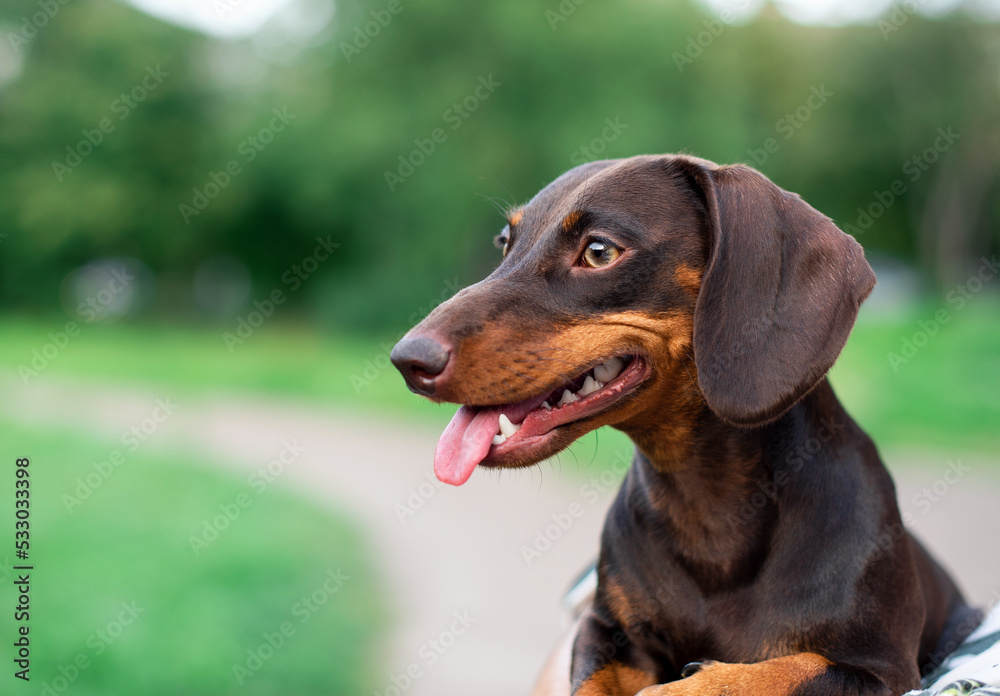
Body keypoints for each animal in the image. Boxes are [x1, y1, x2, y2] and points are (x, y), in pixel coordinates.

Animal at [388, 155, 976, 692]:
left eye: (599, 251)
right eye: (505, 244)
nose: (407, 360)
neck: (706, 514)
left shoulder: (878, 669)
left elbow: (765, 674)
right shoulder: (603, 633)